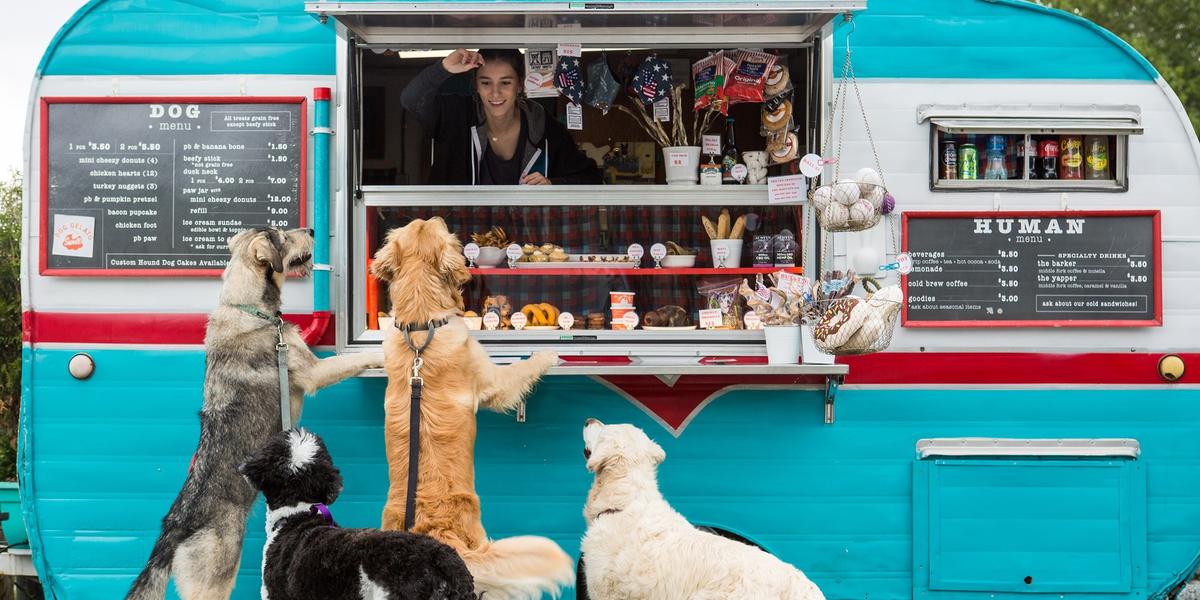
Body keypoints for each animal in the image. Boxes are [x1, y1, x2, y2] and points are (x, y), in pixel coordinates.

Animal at [125, 226, 384, 597]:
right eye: (284, 238)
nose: (312, 230)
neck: (247, 307)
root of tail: (175, 527)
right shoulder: (314, 372)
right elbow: (356, 358)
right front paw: (386, 351)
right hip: (217, 578)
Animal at [369, 218, 571, 600]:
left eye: (421, 222)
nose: (440, 217)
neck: (421, 323)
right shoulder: (493, 381)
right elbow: (520, 370)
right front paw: (546, 354)